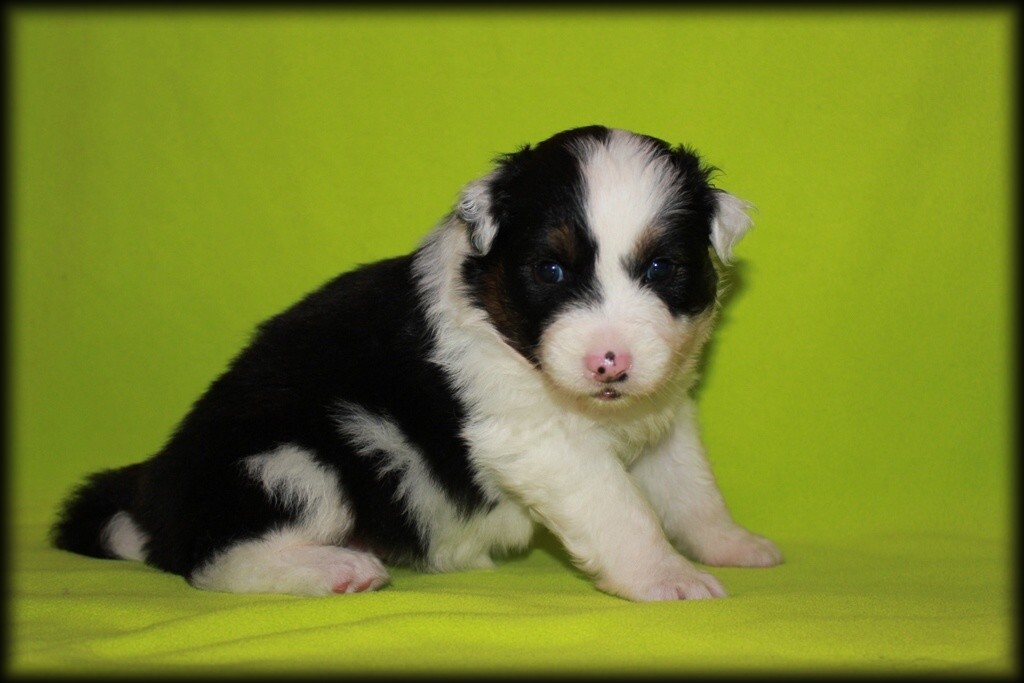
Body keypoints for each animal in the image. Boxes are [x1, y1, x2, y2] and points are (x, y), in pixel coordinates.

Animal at [52, 126, 782, 601]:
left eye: (662, 268)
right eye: (550, 270)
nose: (610, 362)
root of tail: (150, 488)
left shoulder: (666, 416)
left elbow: (693, 491)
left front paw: (734, 545)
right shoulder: (539, 440)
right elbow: (622, 510)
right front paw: (669, 578)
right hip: (298, 458)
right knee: (213, 559)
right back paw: (336, 570)